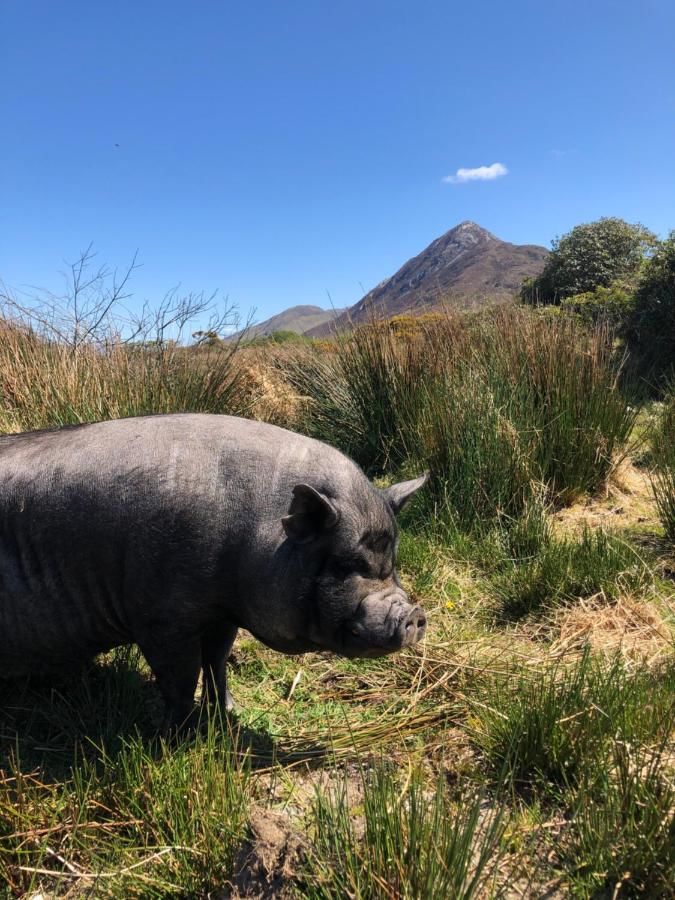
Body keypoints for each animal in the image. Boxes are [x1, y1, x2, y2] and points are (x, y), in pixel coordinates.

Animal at [0, 414, 428, 732]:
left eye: (391, 561)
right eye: (345, 564)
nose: (414, 613)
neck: (252, 537)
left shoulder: (222, 613)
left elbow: (217, 662)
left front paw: (228, 712)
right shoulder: (161, 619)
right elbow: (180, 678)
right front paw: (177, 736)